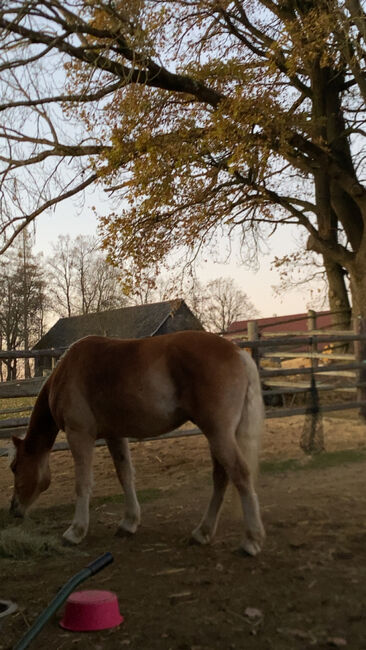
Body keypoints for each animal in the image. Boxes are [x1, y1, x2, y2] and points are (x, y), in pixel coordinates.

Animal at [9, 332, 266, 556]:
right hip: (218, 435)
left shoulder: (79, 434)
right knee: (221, 477)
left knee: (240, 475)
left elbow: (82, 483)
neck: (65, 371)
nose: (14, 510)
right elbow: (125, 475)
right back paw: (202, 533)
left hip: (218, 433)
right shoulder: (114, 435)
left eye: (14, 467)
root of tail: (237, 352)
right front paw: (129, 522)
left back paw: (250, 541)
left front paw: (75, 532)